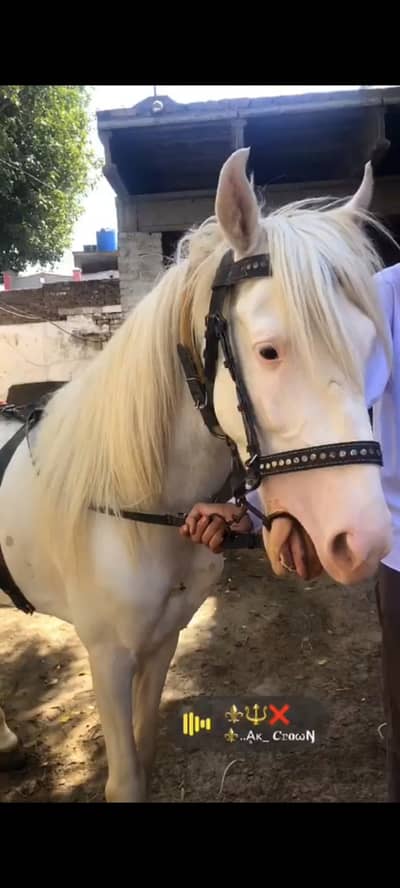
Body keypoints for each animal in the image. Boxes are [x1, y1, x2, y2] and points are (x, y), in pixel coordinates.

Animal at [0, 147, 393, 802]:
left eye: (370, 347)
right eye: (268, 351)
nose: (362, 541)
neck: (137, 511)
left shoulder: (164, 642)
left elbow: (147, 752)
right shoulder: (107, 657)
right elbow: (126, 779)